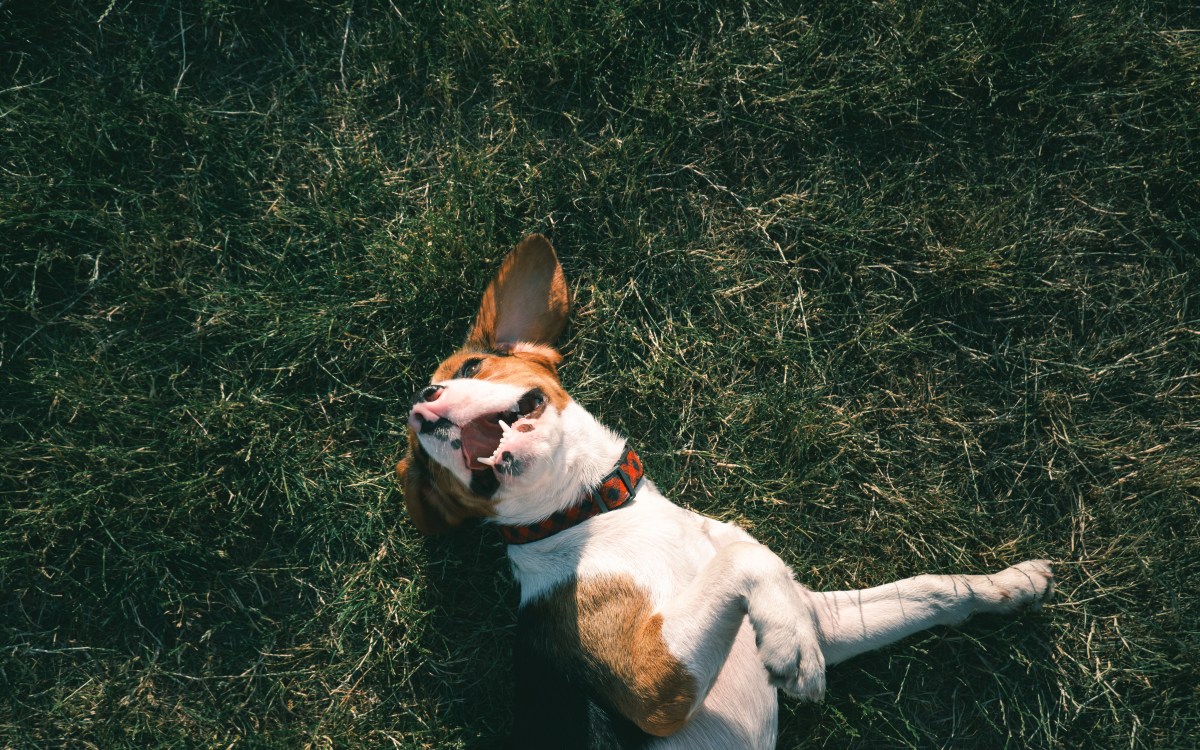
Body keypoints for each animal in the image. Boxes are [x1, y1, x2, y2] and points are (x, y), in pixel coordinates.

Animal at [398, 235, 1056, 748]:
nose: (422, 408)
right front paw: (792, 648)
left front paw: (1009, 585)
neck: (592, 512)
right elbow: (745, 557)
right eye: (424, 469)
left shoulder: (826, 617)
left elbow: (929, 589)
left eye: (469, 368)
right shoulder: (654, 686)